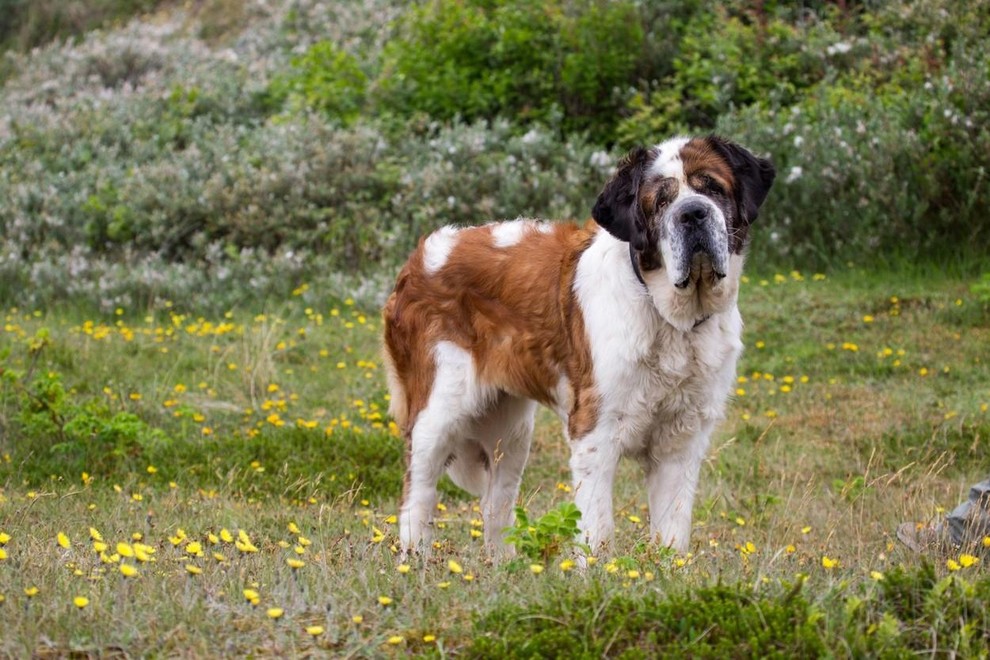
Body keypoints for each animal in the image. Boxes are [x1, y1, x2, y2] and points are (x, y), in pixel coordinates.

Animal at [384, 135, 780, 556]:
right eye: (660, 202)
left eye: (713, 189)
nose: (692, 214)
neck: (670, 319)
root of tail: (417, 259)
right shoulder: (596, 432)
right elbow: (598, 529)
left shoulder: (682, 440)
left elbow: (672, 531)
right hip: (438, 411)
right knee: (417, 496)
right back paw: (415, 560)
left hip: (512, 429)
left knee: (497, 503)